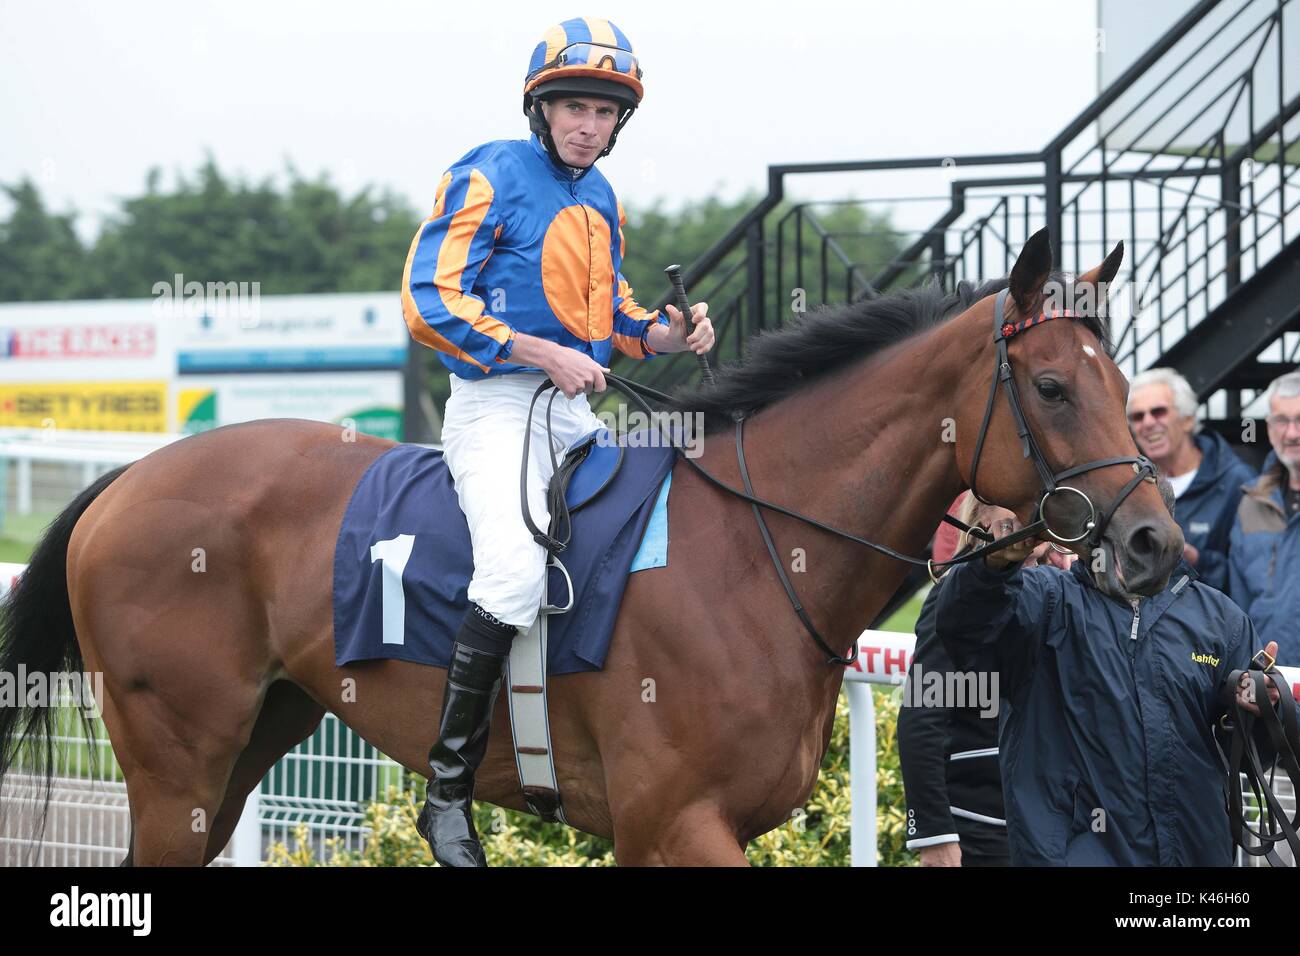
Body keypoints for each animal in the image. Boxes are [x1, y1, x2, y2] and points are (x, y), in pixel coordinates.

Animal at [0, 231, 1185, 868]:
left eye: (1127, 386)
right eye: (1051, 386)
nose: (1155, 543)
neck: (759, 555)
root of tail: (124, 480)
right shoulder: (677, 824)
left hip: (256, 735)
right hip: (179, 764)